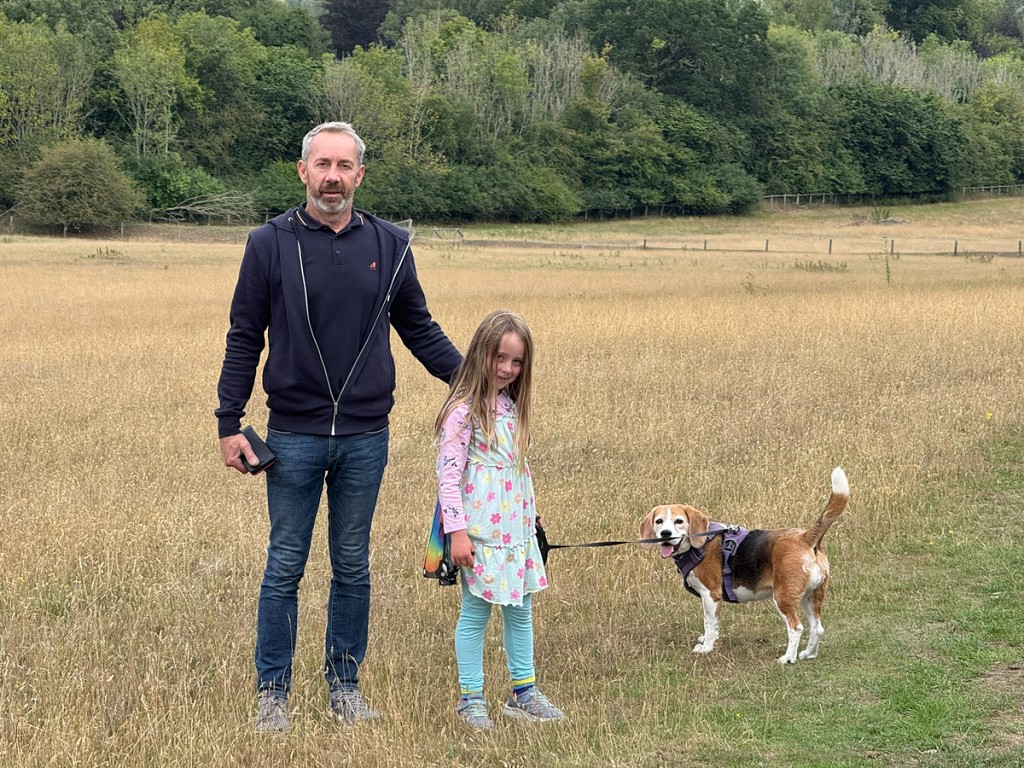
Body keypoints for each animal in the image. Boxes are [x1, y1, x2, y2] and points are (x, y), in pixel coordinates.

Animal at [640, 467, 849, 664]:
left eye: (679, 521)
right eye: (659, 521)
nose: (665, 534)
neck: (698, 543)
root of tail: (805, 538)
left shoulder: (711, 594)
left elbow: (709, 623)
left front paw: (706, 647)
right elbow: (713, 626)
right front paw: (708, 641)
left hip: (783, 597)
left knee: (796, 627)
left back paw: (788, 658)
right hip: (811, 595)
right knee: (817, 628)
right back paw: (808, 653)